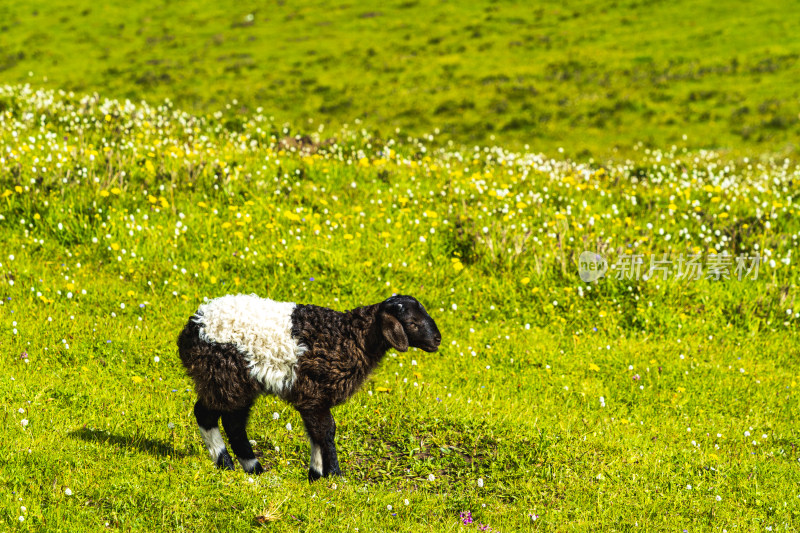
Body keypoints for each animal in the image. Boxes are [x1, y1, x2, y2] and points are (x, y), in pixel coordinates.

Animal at [177, 294, 444, 480]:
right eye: (412, 322)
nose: (437, 340)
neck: (352, 337)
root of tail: (191, 328)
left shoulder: (312, 397)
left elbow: (316, 432)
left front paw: (315, 475)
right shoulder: (315, 391)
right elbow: (327, 430)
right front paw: (335, 476)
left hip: (238, 383)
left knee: (233, 423)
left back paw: (253, 469)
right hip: (223, 375)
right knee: (206, 414)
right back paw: (226, 463)